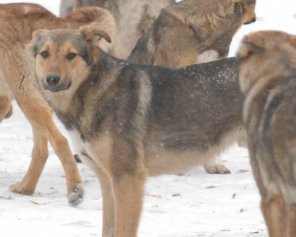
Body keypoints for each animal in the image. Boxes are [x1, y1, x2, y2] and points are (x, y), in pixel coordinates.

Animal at [0, 2, 115, 206]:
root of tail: (52, 18)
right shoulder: (3, 102)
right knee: (42, 150)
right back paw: (25, 188)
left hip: (24, 95)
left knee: (59, 141)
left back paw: (74, 190)